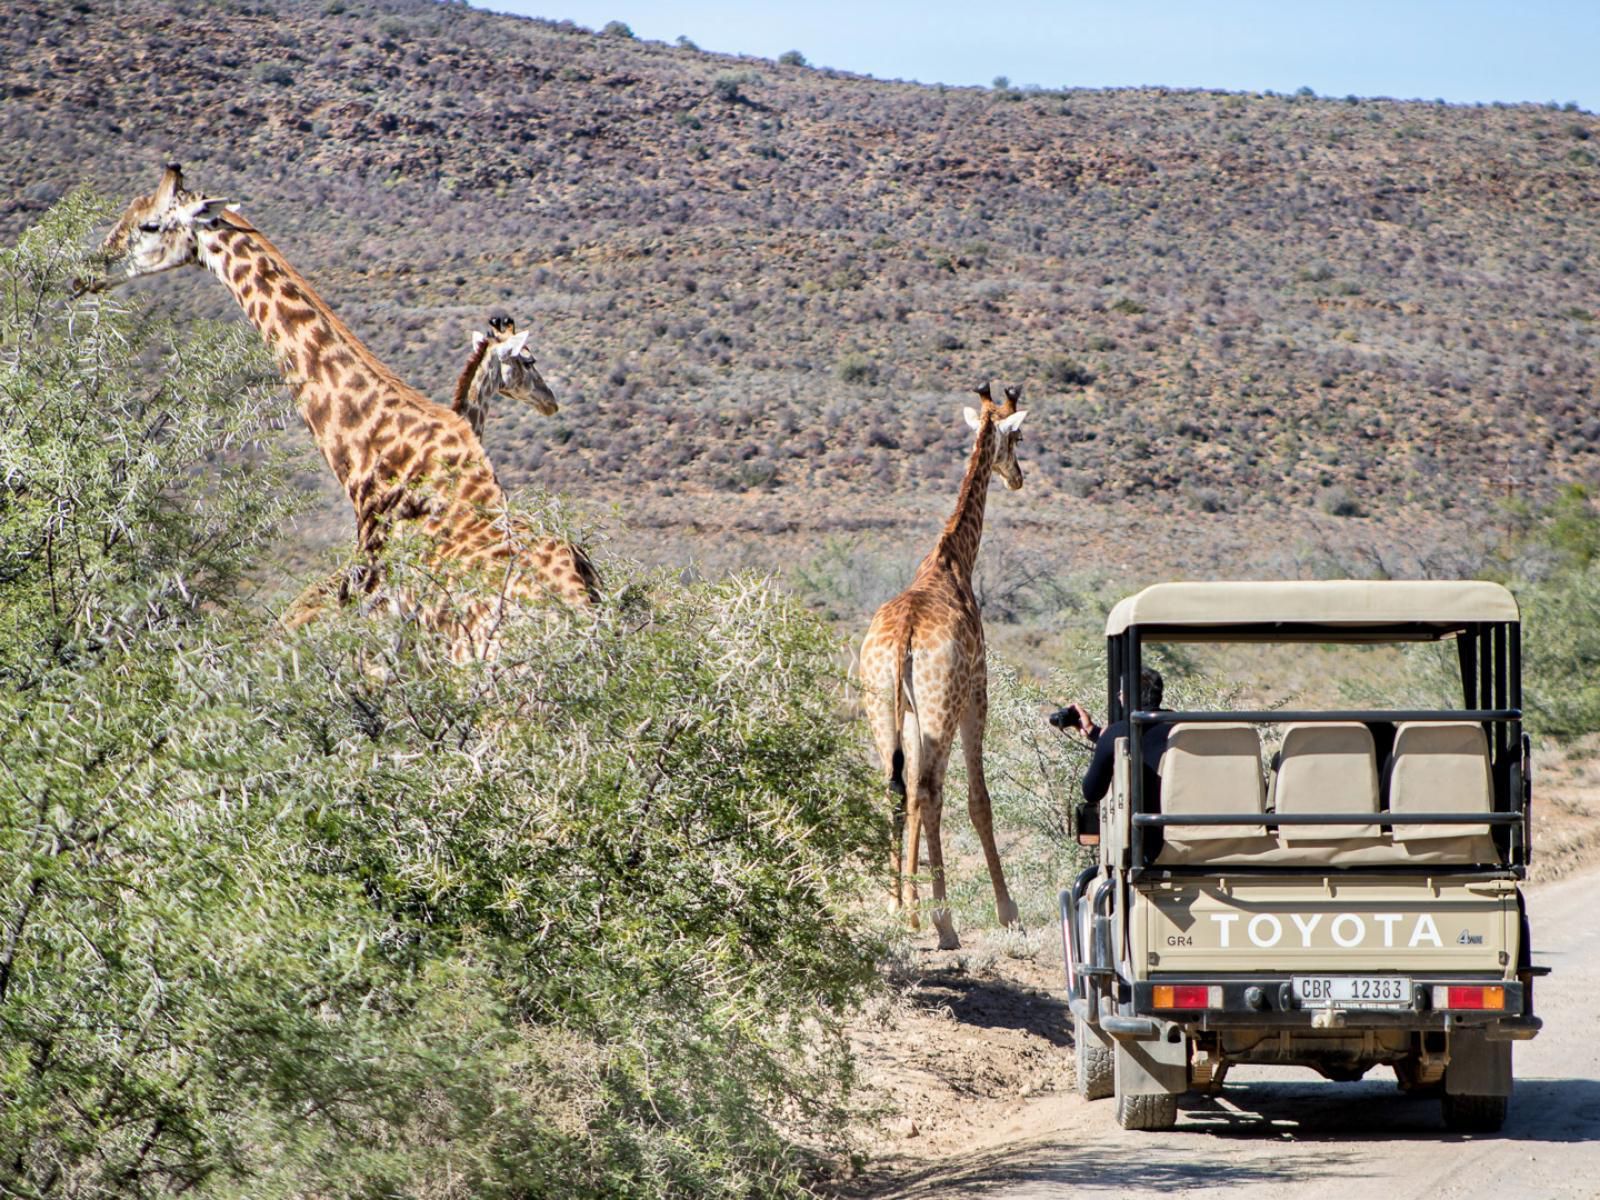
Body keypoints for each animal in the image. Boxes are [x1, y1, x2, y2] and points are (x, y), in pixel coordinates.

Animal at [857, 385, 1030, 947]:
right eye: (1017, 437)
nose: (1018, 477)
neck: (954, 560)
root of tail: (903, 640)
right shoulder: (977, 693)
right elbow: (977, 799)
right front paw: (1006, 911)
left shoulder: (912, 711)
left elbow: (911, 791)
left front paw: (907, 905)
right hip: (942, 707)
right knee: (931, 789)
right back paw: (943, 921)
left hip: (883, 705)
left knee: (897, 785)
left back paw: (900, 907)